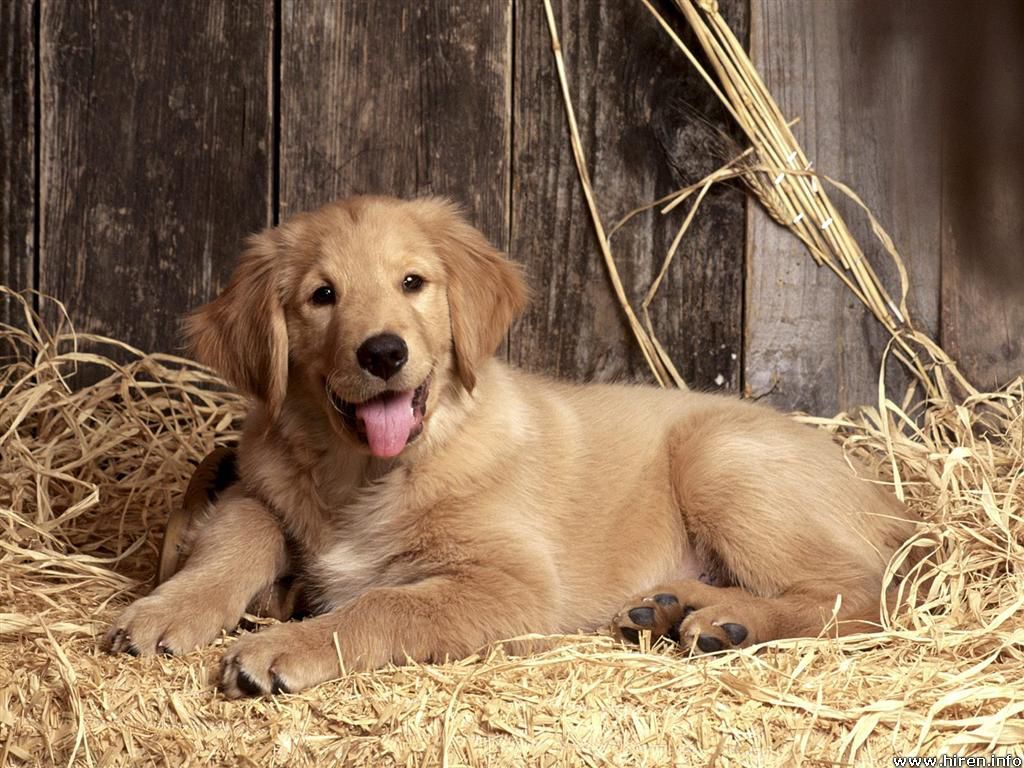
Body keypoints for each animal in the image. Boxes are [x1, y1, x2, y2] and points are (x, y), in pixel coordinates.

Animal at [101, 196, 921, 696]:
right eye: (322, 296)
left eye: (413, 283)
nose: (383, 353)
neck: (368, 471)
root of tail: (891, 498)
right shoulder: (258, 482)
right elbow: (235, 535)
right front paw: (166, 611)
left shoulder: (514, 582)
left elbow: (386, 605)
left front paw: (287, 645)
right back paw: (674, 607)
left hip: (723, 459)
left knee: (864, 593)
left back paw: (729, 623)